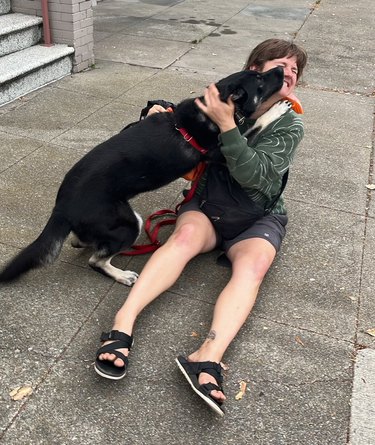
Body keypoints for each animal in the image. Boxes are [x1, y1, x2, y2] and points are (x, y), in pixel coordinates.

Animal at [0, 68, 284, 286]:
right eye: (260, 79)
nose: (281, 70)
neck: (212, 110)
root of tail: (61, 207)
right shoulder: (225, 154)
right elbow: (255, 127)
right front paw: (278, 110)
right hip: (129, 222)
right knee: (96, 260)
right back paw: (121, 275)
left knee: (84, 242)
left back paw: (84, 243)